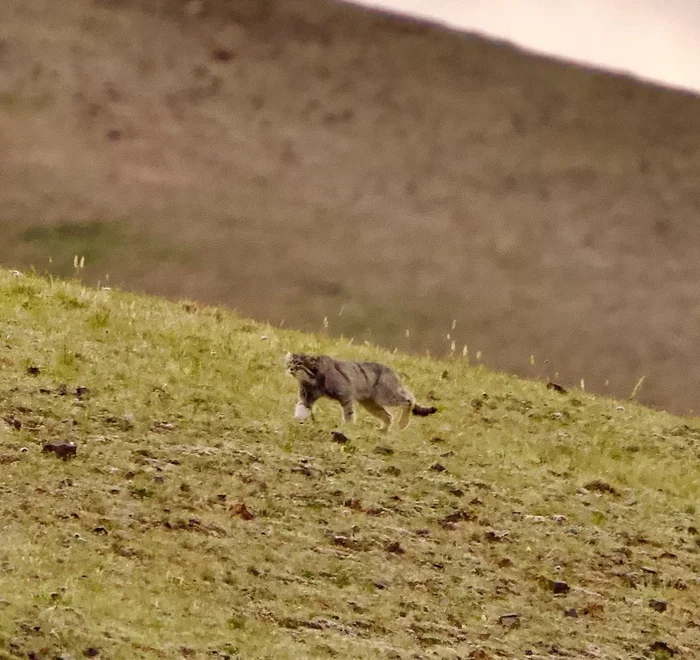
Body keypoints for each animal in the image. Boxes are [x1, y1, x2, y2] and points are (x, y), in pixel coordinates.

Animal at [284, 354, 438, 430]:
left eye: (298, 364)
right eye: (290, 363)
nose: (290, 369)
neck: (313, 379)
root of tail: (392, 371)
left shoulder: (345, 394)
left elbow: (348, 413)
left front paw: (347, 426)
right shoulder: (306, 397)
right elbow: (301, 409)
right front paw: (297, 420)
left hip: (386, 396)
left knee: (409, 399)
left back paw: (402, 424)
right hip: (370, 403)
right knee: (388, 415)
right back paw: (383, 430)